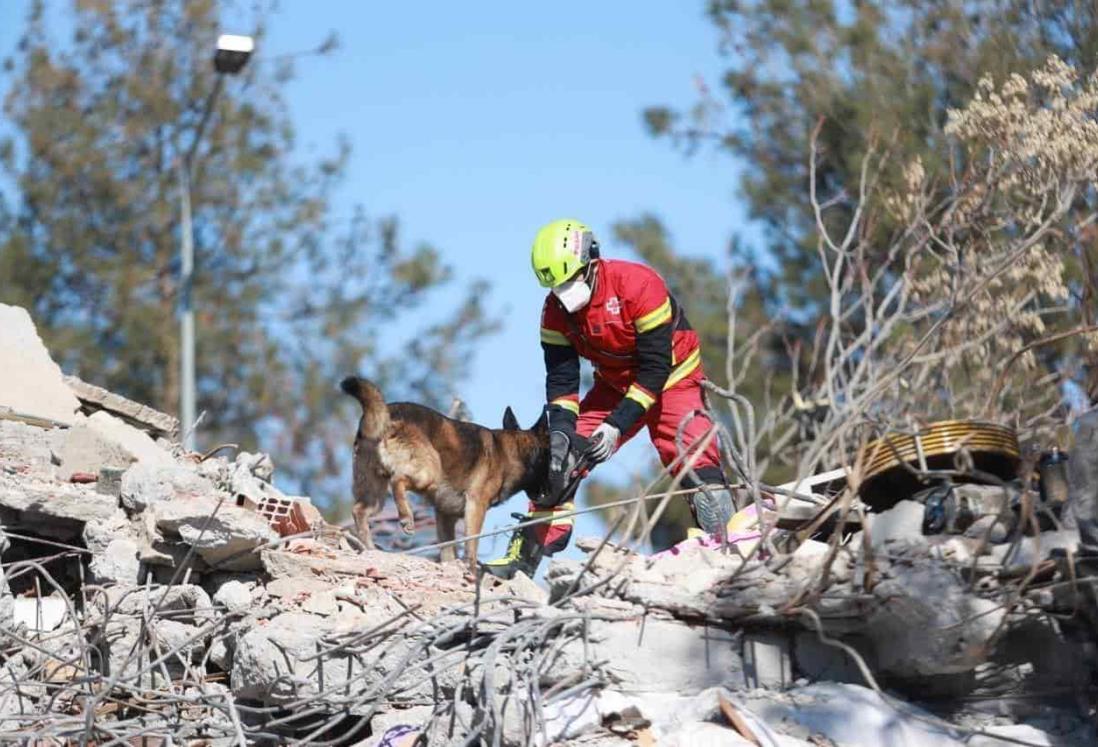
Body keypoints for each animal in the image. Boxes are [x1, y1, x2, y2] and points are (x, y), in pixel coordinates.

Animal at [338, 375, 549, 575]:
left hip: (375, 494)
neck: (513, 451)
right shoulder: (476, 506)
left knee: (359, 510)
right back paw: (406, 518)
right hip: (428, 473)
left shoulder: (445, 515)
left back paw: (370, 549)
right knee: (398, 480)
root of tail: (387, 413)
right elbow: (471, 545)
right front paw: (472, 572)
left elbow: (448, 551)